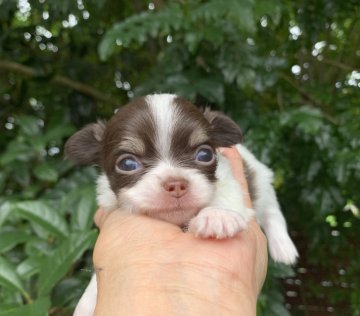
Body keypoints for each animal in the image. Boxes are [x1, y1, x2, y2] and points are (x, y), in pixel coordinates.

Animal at [64, 92, 298, 314]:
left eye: (204, 154)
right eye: (128, 164)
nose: (176, 184)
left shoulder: (230, 180)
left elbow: (224, 196)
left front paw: (217, 216)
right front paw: (87, 300)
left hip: (261, 179)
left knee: (272, 211)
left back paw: (283, 247)